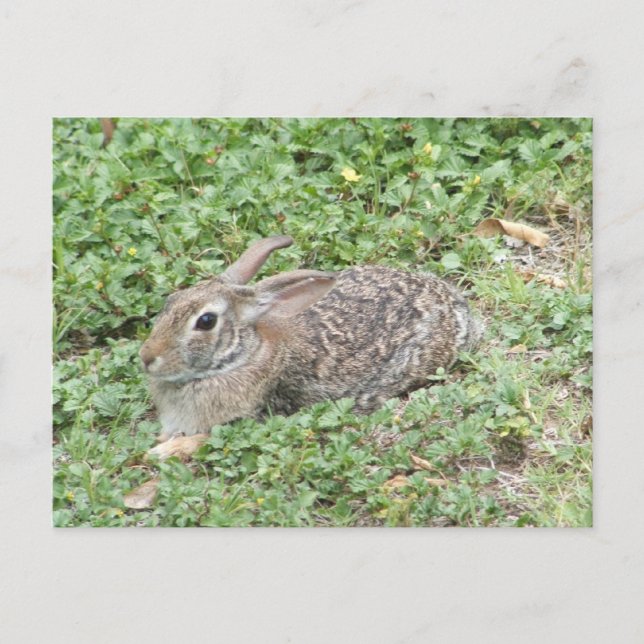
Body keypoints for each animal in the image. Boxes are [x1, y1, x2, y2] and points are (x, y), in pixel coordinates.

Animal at [140, 235, 482, 459]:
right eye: (170, 301)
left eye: (206, 321)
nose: (146, 357)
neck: (238, 358)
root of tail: (454, 304)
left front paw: (162, 451)